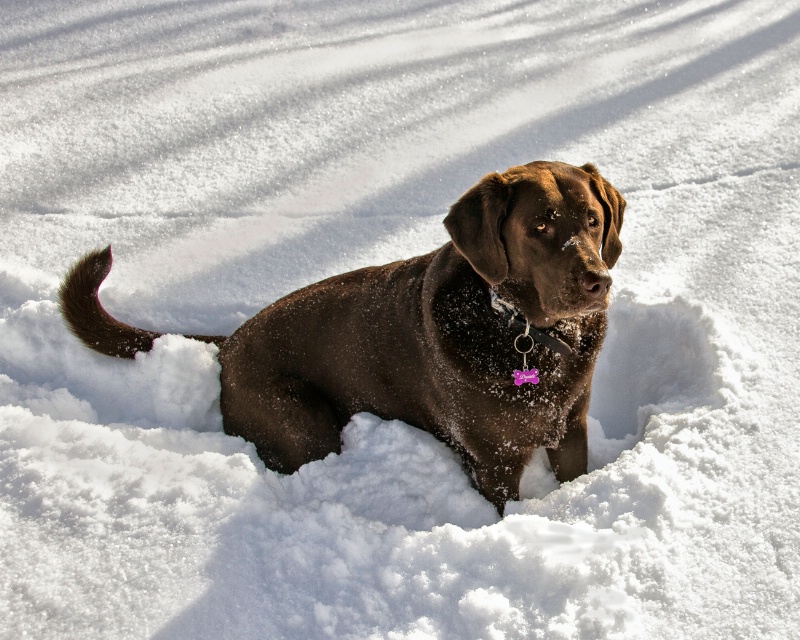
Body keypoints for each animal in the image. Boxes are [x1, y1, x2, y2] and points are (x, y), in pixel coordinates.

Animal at [61, 161, 624, 516]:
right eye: (539, 226)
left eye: (593, 220)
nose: (597, 281)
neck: (521, 330)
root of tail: (232, 341)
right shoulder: (492, 459)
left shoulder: (571, 427)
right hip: (303, 421)